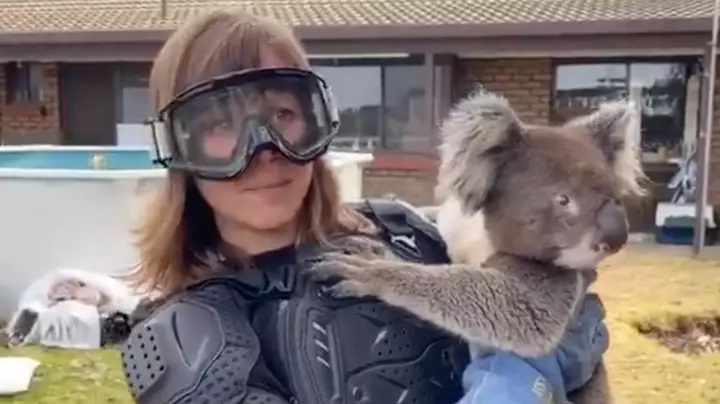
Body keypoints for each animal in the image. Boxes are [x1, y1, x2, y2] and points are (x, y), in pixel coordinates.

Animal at [309, 87, 646, 404]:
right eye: (564, 200)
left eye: (616, 197)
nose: (615, 239)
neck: (482, 233)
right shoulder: (451, 227)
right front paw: (397, 219)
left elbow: (520, 312)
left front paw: (370, 269)